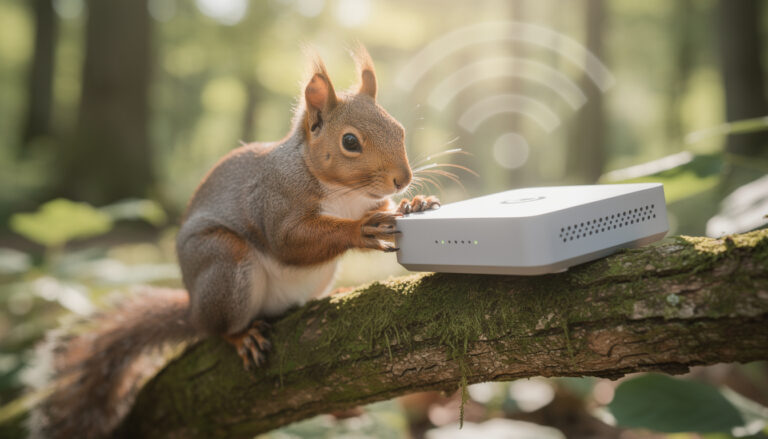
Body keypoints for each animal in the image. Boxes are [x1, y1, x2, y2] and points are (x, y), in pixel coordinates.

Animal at [26, 45, 440, 439]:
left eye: (399, 129)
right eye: (350, 141)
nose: (403, 179)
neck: (345, 194)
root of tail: (194, 308)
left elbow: (383, 207)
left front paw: (415, 203)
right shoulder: (272, 202)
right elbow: (288, 242)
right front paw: (361, 229)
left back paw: (328, 297)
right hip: (225, 262)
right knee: (220, 327)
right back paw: (241, 336)